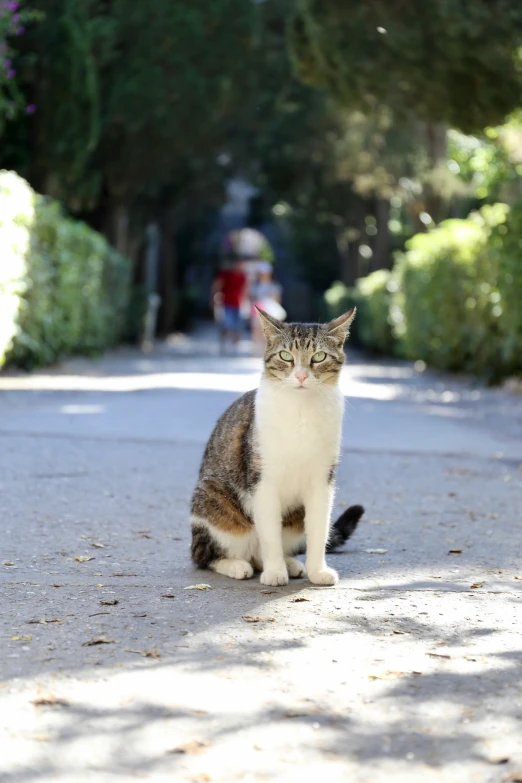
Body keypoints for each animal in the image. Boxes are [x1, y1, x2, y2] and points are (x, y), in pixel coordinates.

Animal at [189, 306, 364, 588]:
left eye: (318, 357)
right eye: (285, 356)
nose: (301, 375)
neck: (301, 411)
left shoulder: (322, 481)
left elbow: (319, 529)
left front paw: (318, 570)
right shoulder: (263, 481)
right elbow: (270, 534)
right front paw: (274, 572)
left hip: (293, 522)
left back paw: (291, 563)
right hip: (213, 499)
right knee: (204, 555)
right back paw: (237, 565)